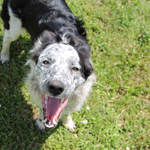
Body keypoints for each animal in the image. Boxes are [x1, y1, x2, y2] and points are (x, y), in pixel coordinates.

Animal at [0, 0, 95, 131]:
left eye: (75, 68)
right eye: (46, 62)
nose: (55, 87)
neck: (64, 38)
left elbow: (66, 111)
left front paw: (68, 122)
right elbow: (42, 105)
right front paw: (40, 122)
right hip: (14, 26)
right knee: (6, 39)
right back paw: (4, 56)